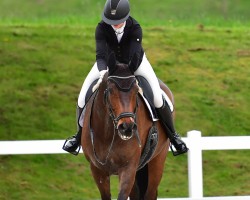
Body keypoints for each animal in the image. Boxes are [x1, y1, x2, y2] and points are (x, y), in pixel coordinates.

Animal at [81, 54, 175, 199]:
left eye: (136, 91)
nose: (127, 127)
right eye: (111, 90)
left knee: (150, 193)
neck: (108, 134)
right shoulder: (97, 170)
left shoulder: (128, 168)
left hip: (157, 160)